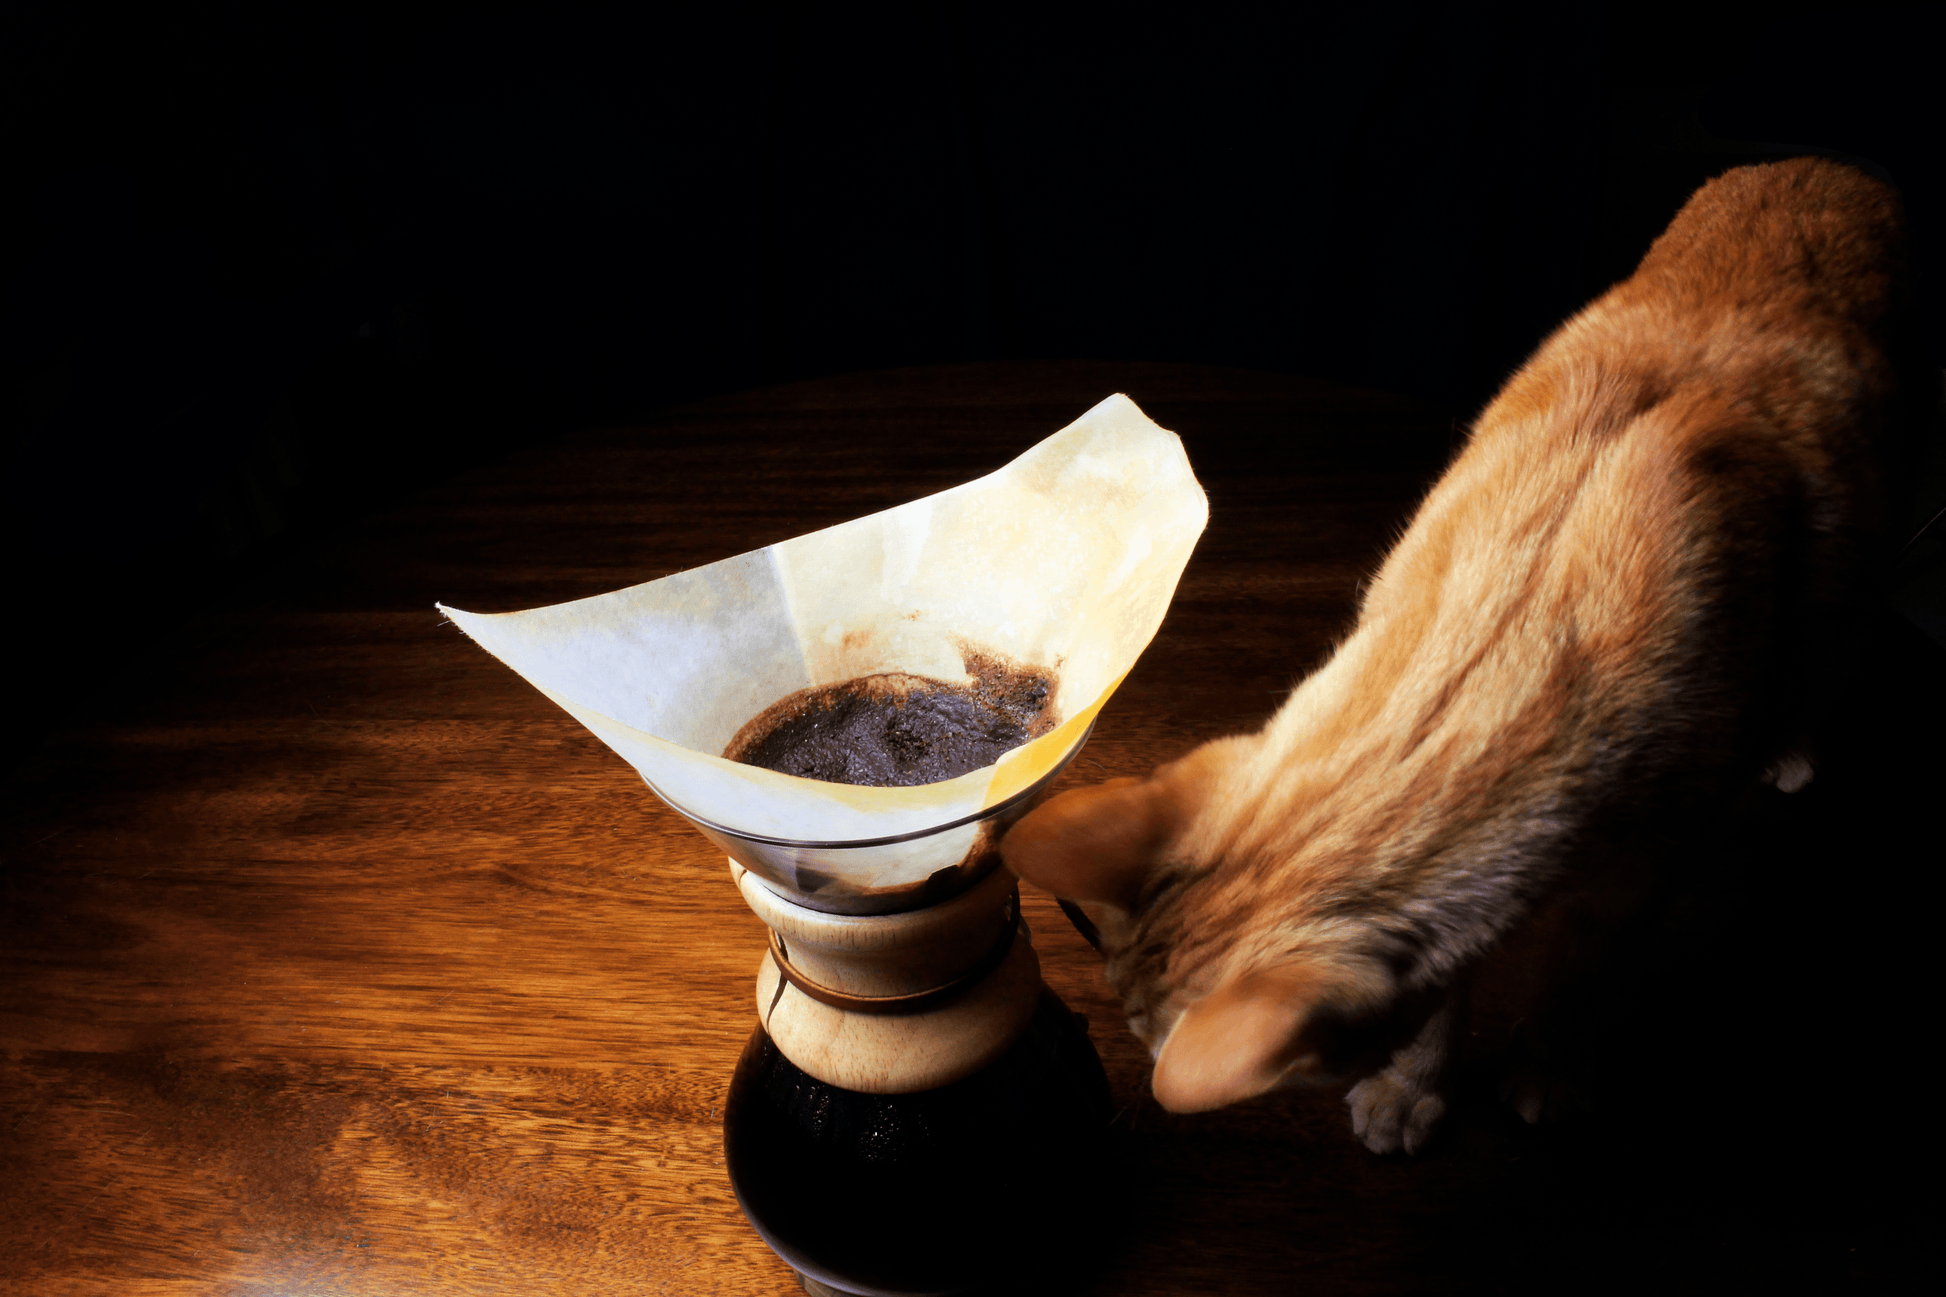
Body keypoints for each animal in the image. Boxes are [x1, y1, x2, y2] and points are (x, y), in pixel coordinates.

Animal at [996, 158, 1907, 1152]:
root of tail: (1818, 167)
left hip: (1865, 548)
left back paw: (1792, 743)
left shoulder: (1643, 872)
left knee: (1834, 646)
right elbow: (1443, 988)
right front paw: (1416, 1083)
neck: (1500, 648)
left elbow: (1574, 975)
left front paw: (1543, 1064)